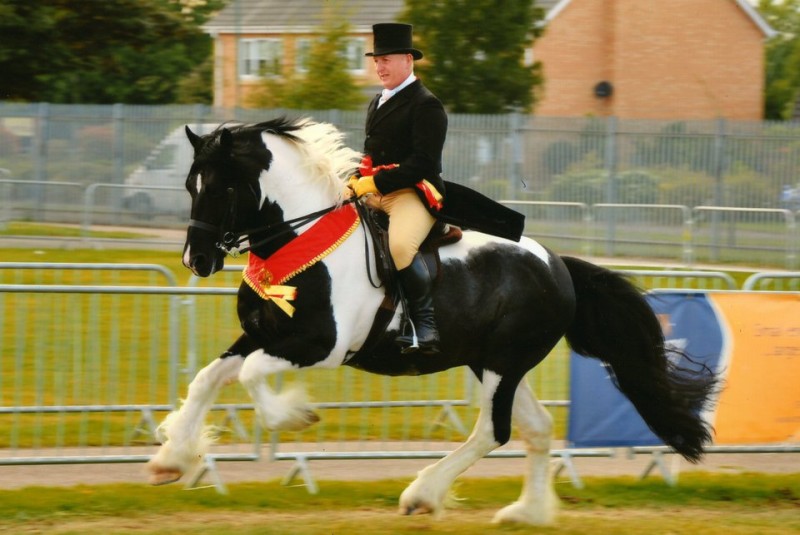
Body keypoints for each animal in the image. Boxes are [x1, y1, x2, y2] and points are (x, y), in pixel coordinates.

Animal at [148, 118, 720, 528]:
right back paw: (526, 513)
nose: (196, 261)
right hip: (492, 363)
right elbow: (209, 378)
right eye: (190, 185)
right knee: (535, 429)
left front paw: (294, 414)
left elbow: (249, 377)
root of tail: (559, 266)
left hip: (503, 363)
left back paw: (423, 494)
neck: (299, 240)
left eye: (220, 188)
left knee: (494, 430)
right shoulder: (264, 334)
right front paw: (171, 458)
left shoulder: (319, 345)